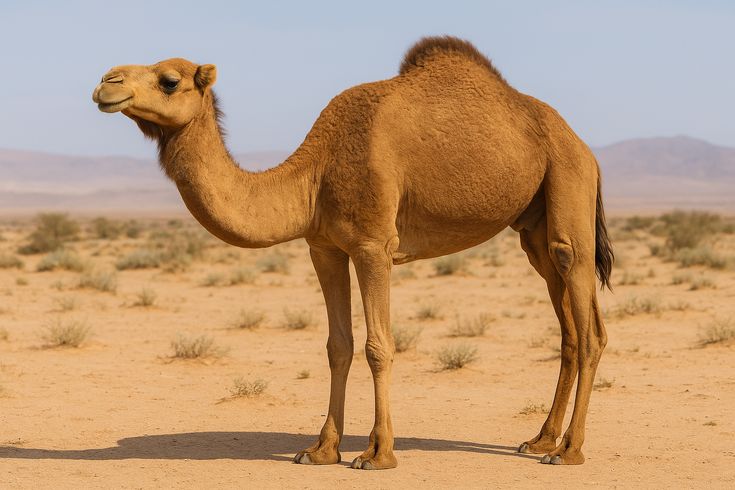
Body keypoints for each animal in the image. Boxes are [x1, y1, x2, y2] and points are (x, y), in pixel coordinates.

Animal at [93, 36, 613, 469]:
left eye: (169, 80)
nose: (106, 82)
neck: (315, 175)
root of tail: (585, 147)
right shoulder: (324, 247)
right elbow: (337, 346)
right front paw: (321, 449)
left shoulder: (373, 246)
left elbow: (378, 346)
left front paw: (377, 453)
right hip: (533, 230)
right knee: (567, 324)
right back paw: (540, 440)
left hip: (568, 185)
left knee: (587, 320)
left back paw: (569, 451)